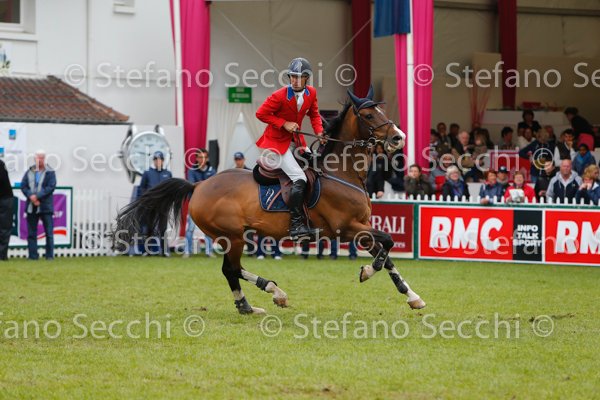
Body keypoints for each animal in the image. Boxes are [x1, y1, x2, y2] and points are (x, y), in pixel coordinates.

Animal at [112, 87, 426, 314]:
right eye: (370, 115)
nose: (399, 138)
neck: (342, 172)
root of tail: (199, 184)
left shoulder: (361, 227)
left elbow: (387, 256)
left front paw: (412, 296)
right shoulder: (348, 228)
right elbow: (386, 245)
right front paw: (366, 272)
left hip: (233, 237)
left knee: (232, 269)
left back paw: (260, 299)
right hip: (232, 236)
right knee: (231, 269)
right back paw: (262, 298)